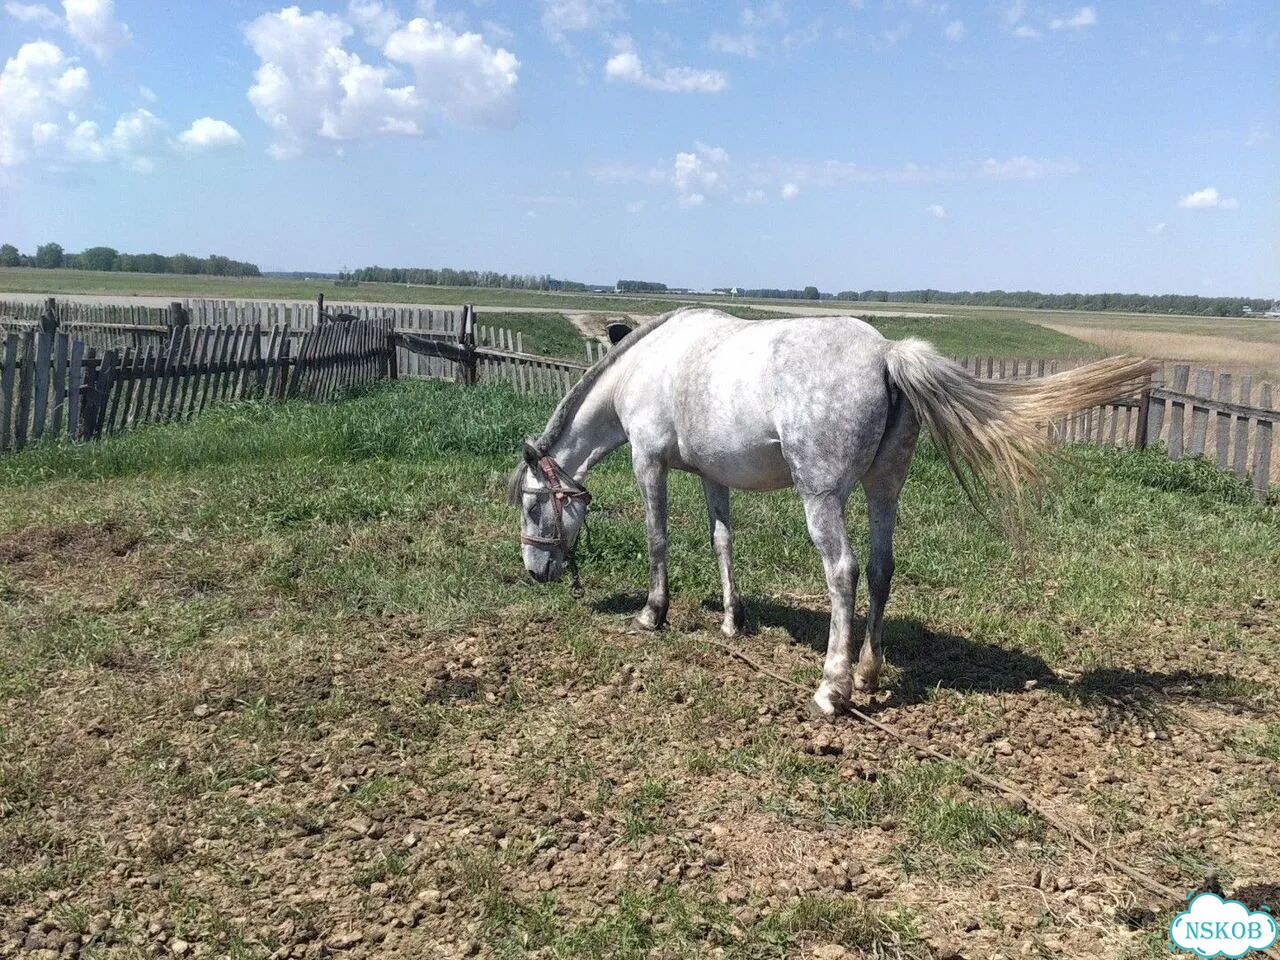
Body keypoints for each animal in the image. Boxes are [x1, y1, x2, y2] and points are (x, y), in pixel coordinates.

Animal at [509, 307, 1153, 717]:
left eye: (533, 503)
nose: (535, 572)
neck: (649, 365)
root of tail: (888, 354)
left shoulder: (649, 462)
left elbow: (657, 537)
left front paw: (652, 613)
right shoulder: (715, 476)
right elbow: (722, 541)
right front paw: (732, 622)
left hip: (822, 498)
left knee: (844, 572)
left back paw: (832, 689)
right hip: (883, 487)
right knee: (883, 568)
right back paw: (867, 673)